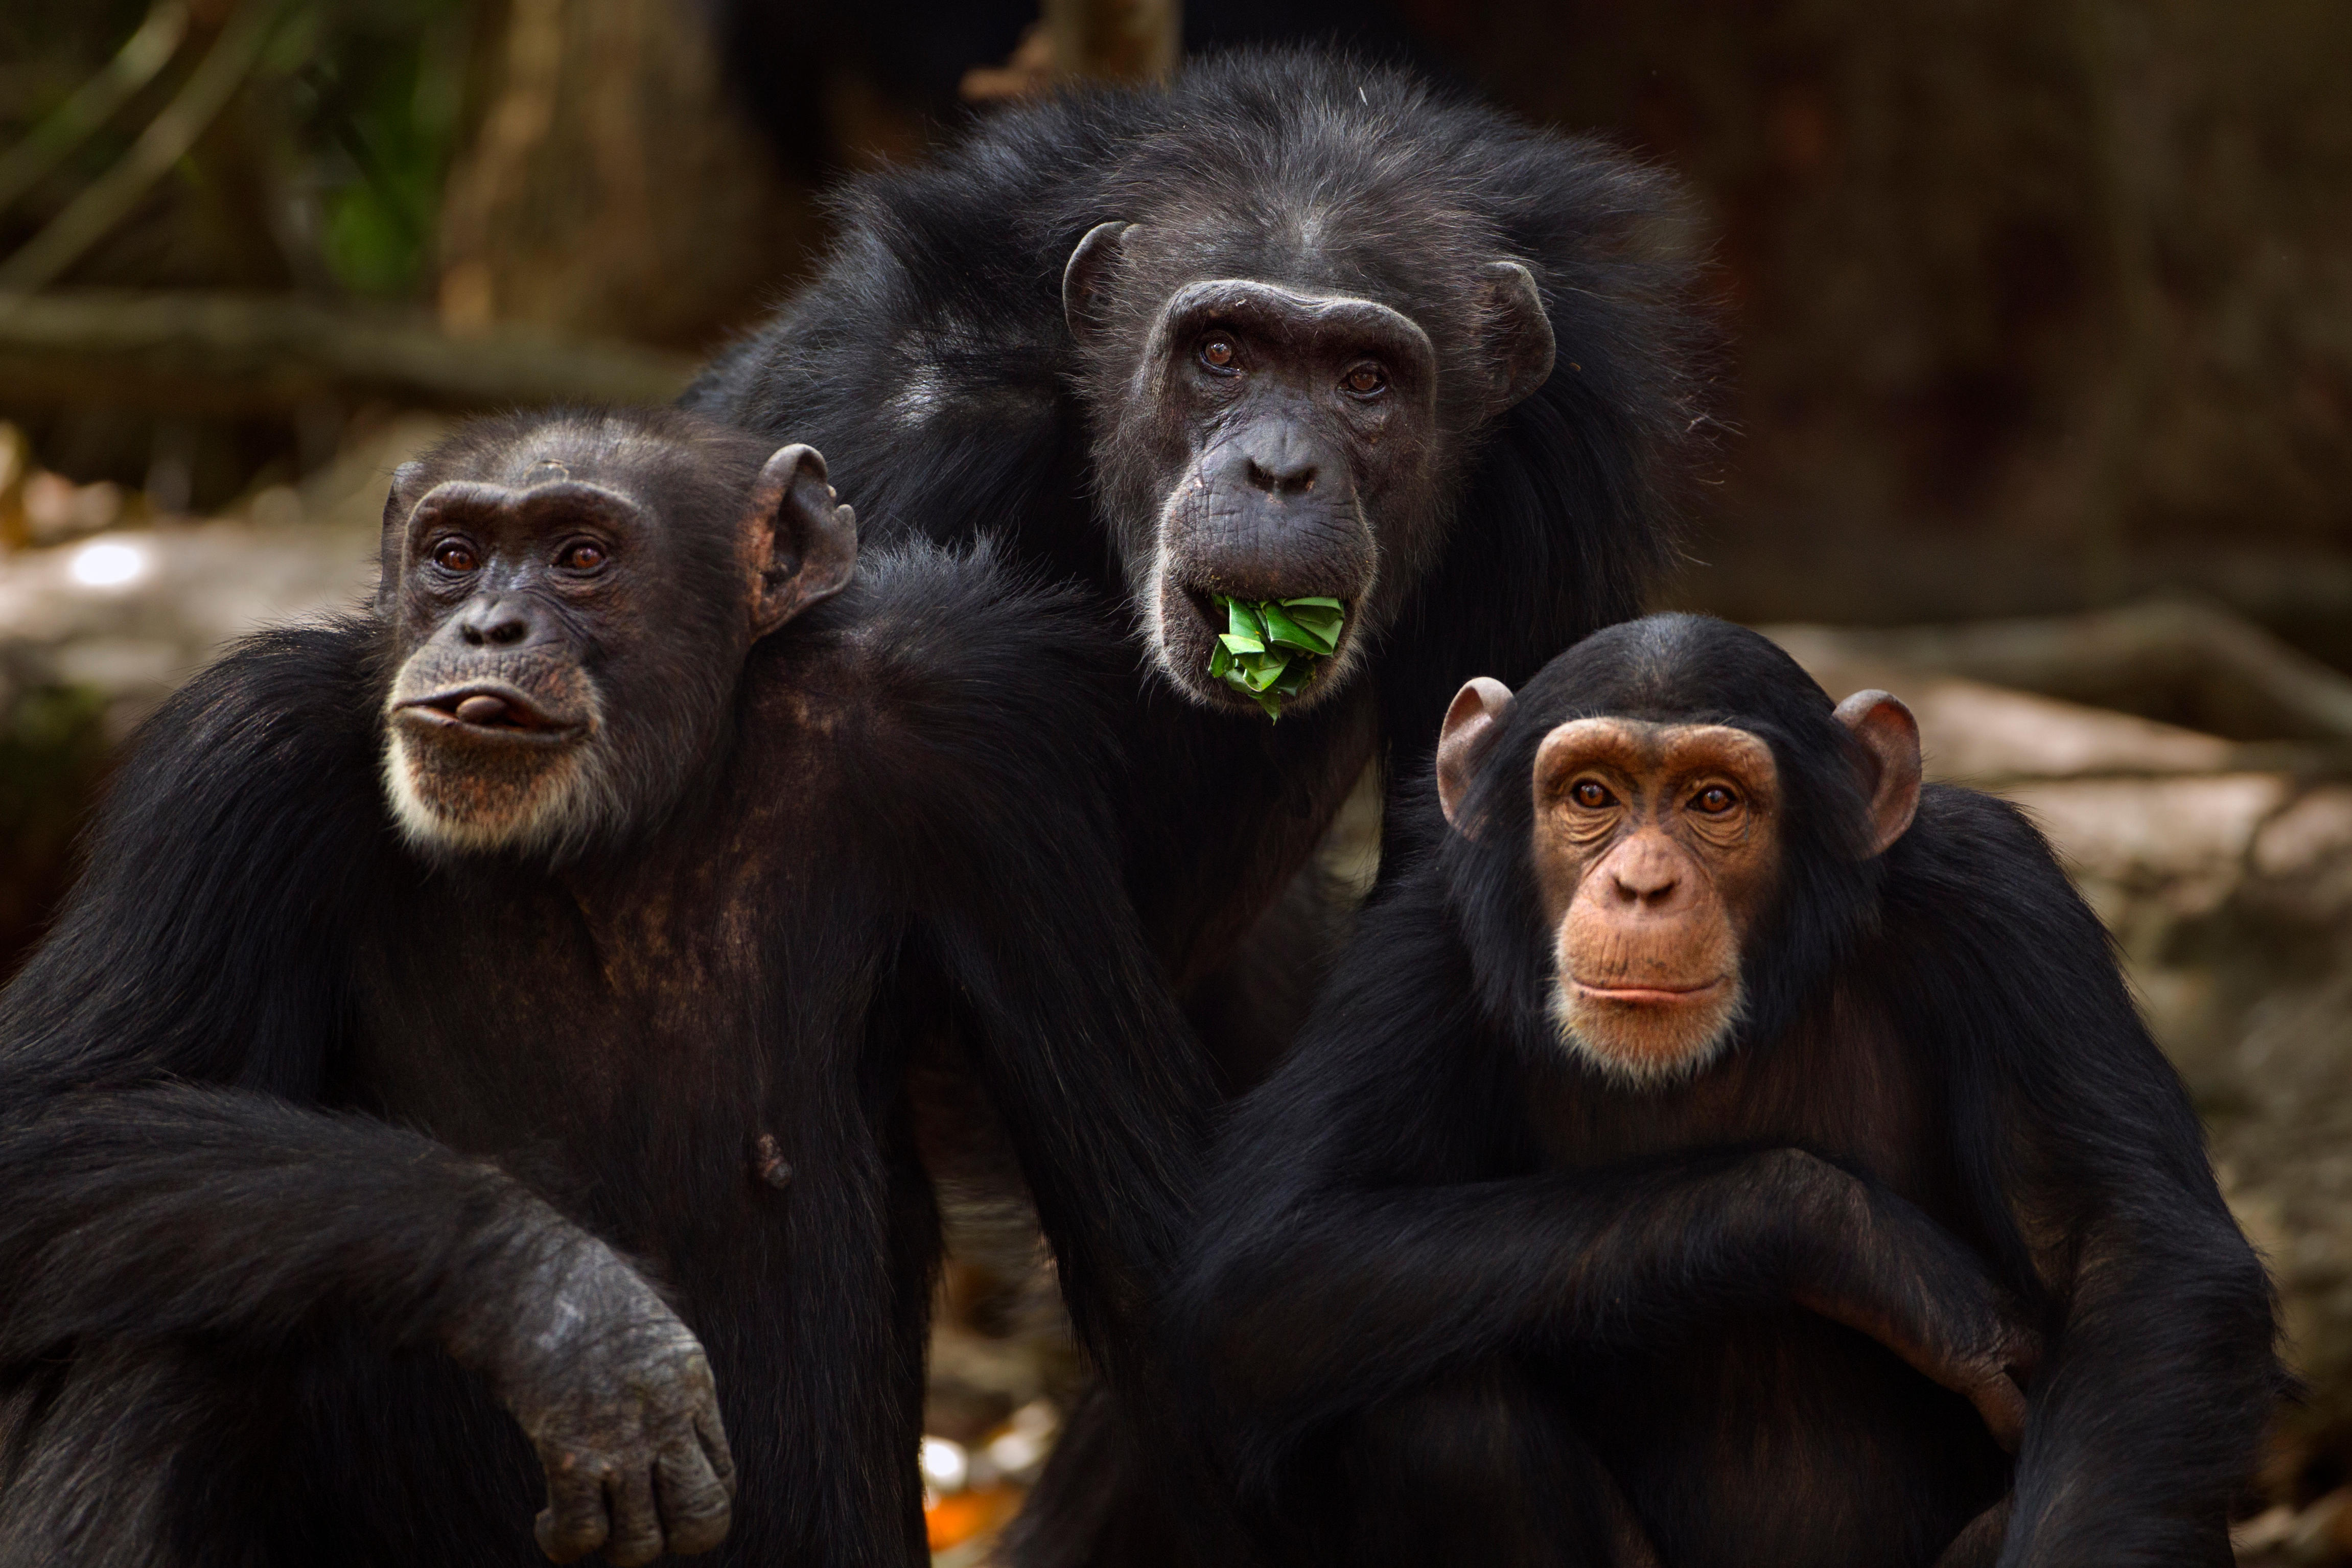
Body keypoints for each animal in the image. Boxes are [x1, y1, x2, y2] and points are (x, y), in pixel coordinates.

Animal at [0, 409, 1214, 1568]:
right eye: (452, 555)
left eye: (581, 555)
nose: (488, 626)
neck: (616, 826)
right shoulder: (235, 760)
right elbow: (44, 1115)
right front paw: (569, 1315)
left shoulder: (979, 730)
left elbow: (1148, 1242)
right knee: (184, 1327)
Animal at [1185, 616, 2286, 1568]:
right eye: (1590, 794)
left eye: (1714, 801)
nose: (1641, 884)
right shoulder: (1423, 940)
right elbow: (1267, 1254)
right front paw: (1865, 1248)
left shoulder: (2005, 899)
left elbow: (2130, 1252)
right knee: (1431, 1417)